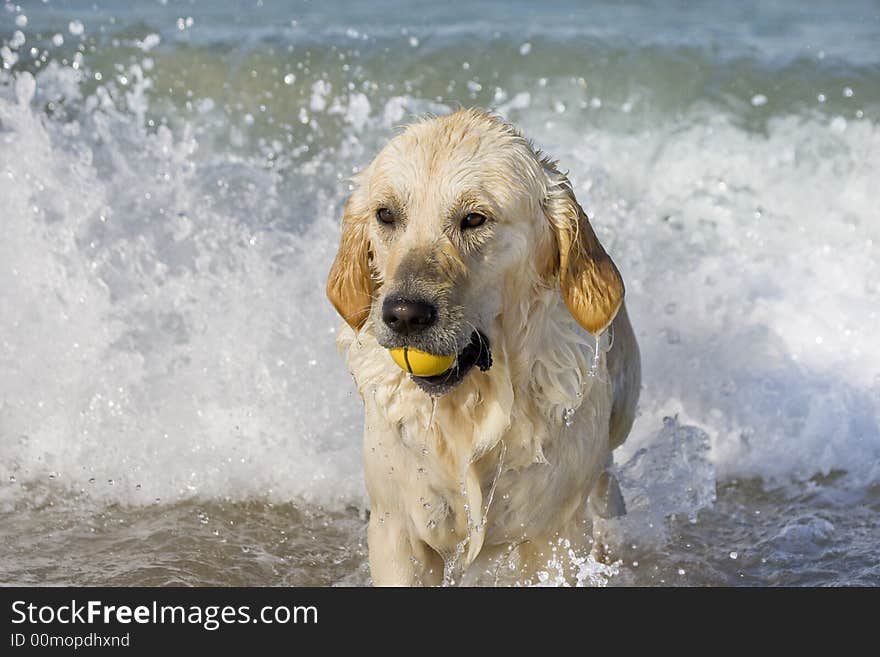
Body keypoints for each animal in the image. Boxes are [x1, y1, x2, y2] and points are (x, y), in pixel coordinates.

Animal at [326, 107, 636, 584]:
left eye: (474, 218)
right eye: (386, 214)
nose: (404, 315)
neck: (472, 406)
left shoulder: (554, 536)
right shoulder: (397, 528)